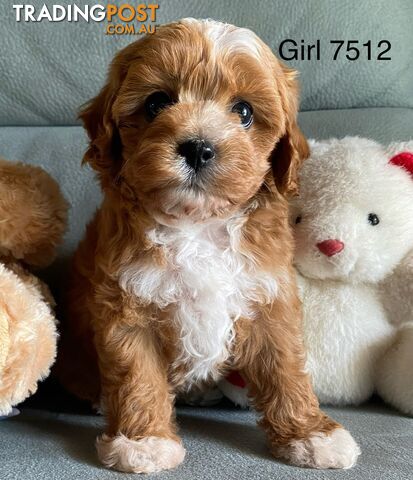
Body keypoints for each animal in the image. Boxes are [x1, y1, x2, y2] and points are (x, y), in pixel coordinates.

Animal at [56, 17, 358, 472]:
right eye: (156, 103)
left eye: (244, 111)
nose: (198, 147)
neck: (199, 224)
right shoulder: (127, 304)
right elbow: (137, 376)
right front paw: (144, 441)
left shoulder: (269, 298)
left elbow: (286, 369)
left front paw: (311, 434)